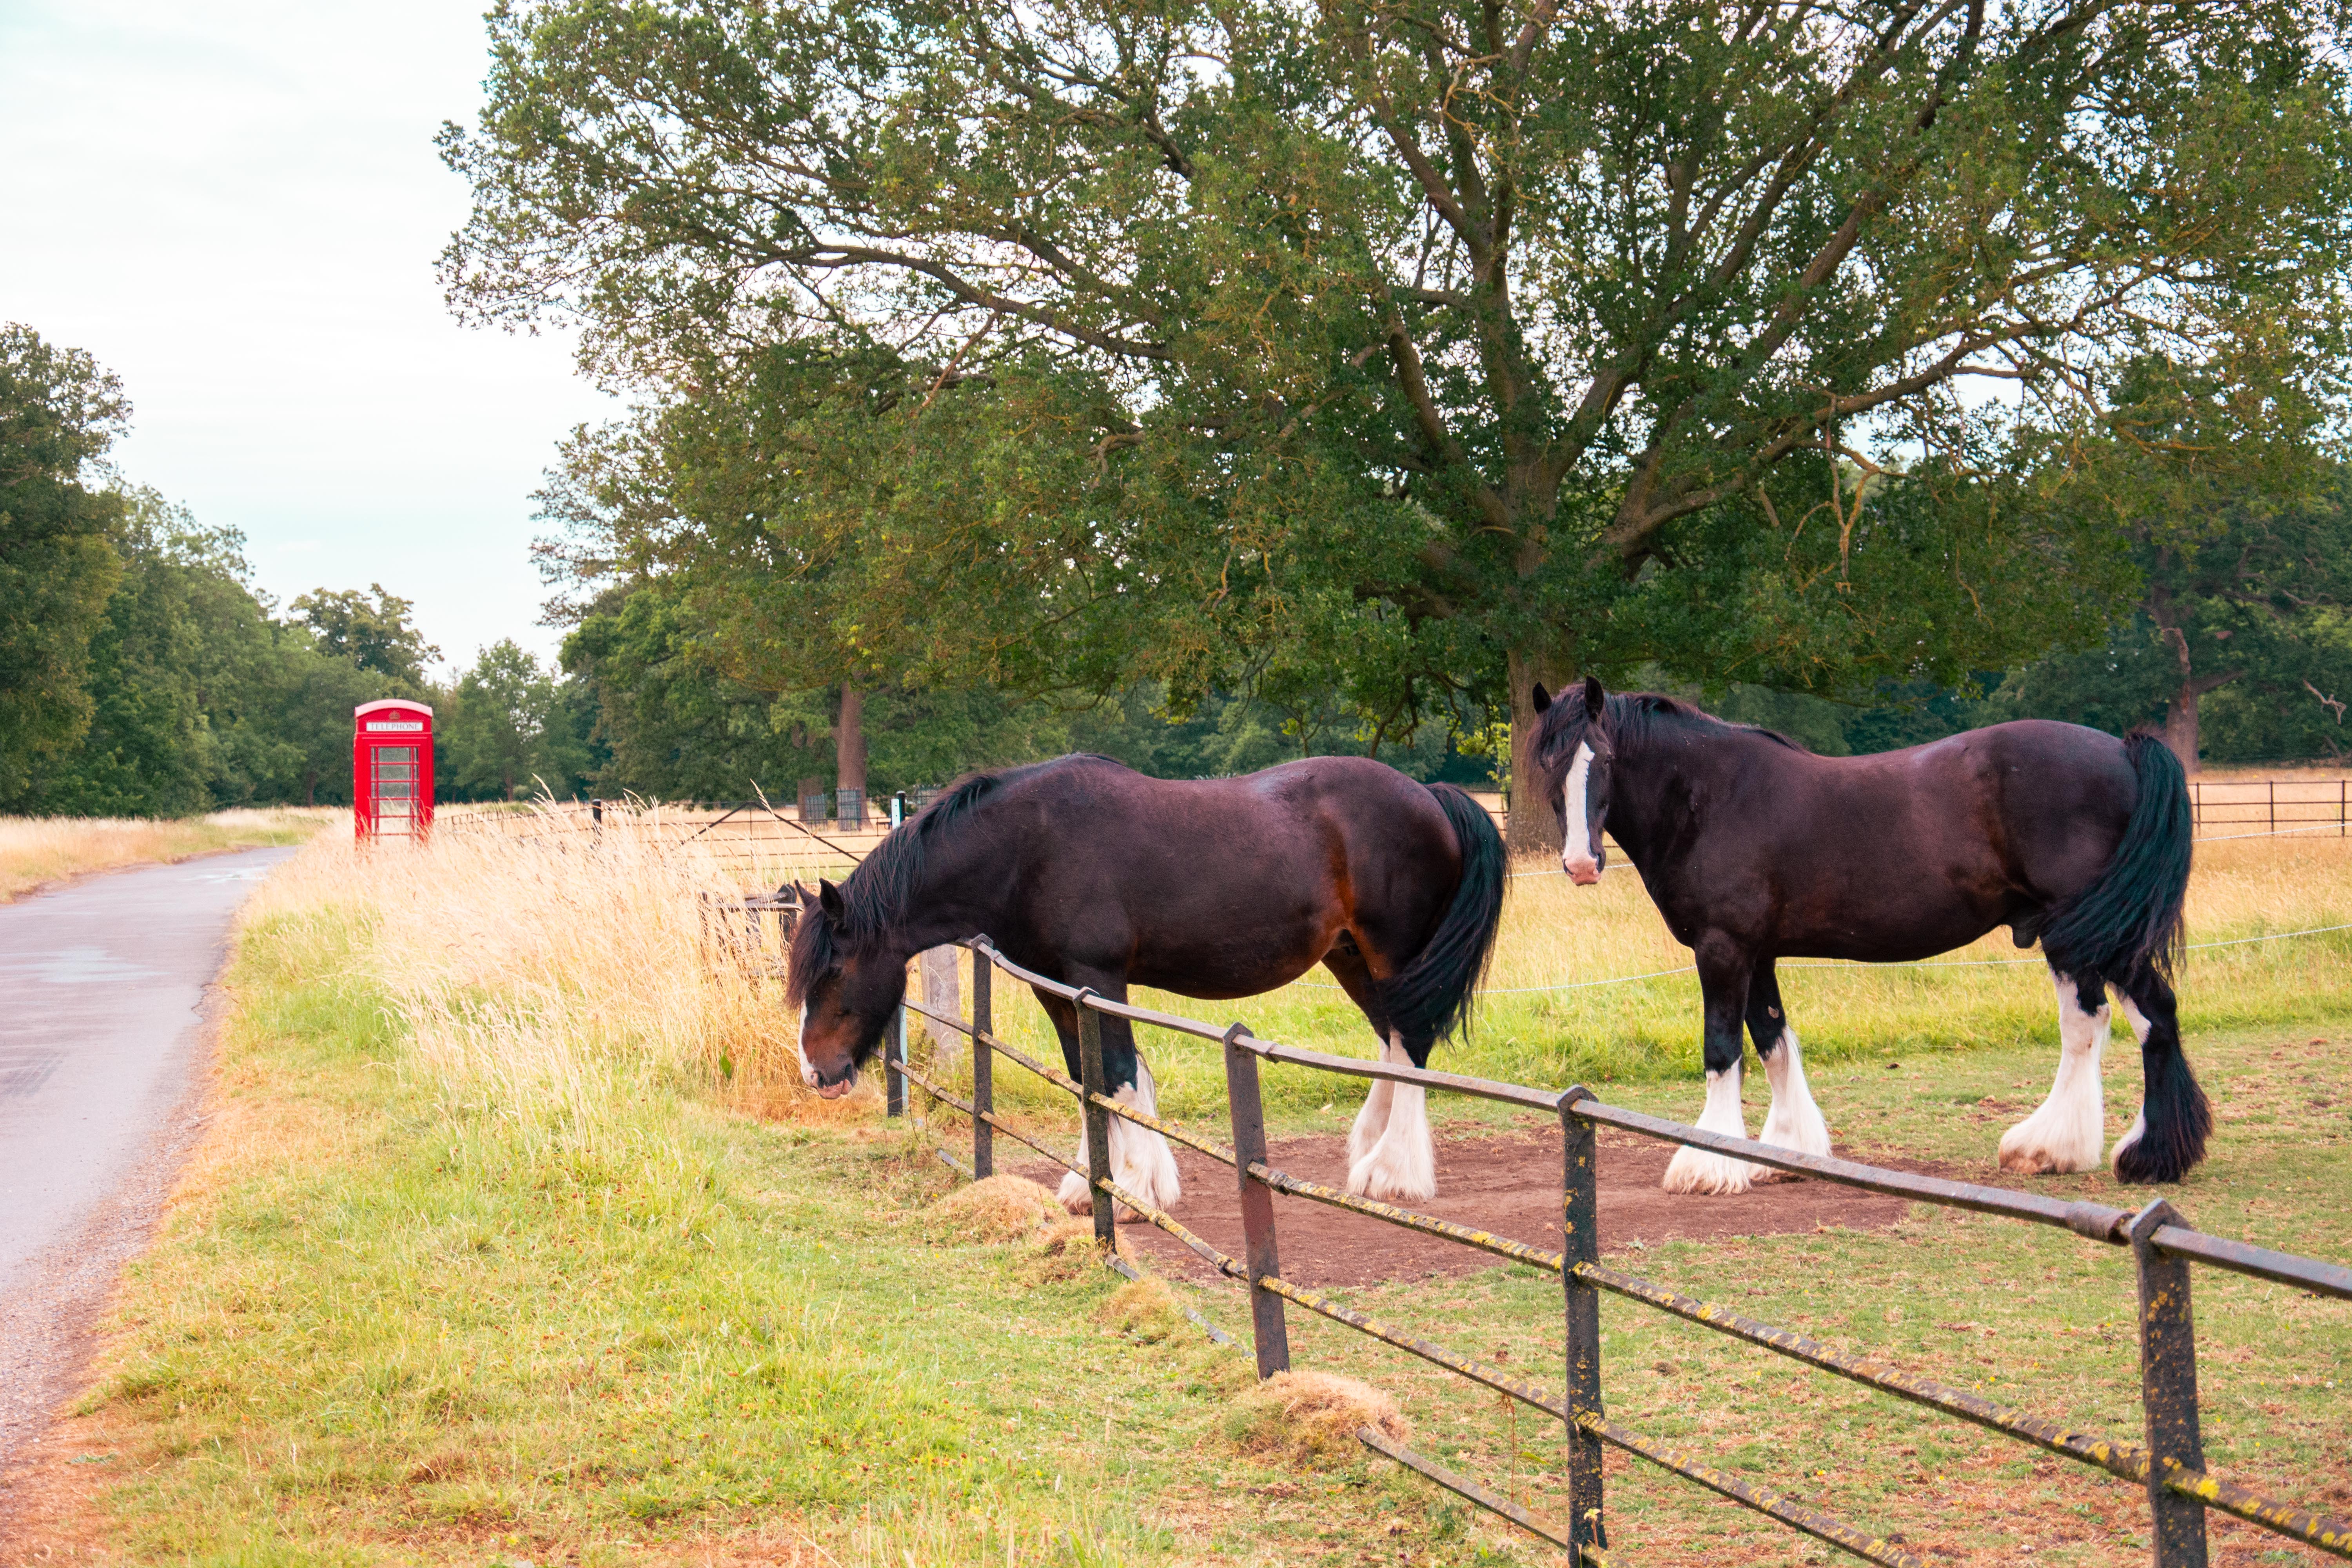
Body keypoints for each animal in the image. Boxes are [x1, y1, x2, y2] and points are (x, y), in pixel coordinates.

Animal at [785, 752, 1507, 1213]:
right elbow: (1087, 1074)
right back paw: (1367, 1153)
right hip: (1352, 957)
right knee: (1392, 1043)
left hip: (1394, 951)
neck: (1025, 847)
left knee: (1412, 1045)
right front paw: (1093, 1183)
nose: (817, 1072)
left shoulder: (1097, 975)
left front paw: (1131, 1187)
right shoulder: (1055, 983)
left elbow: (1118, 1073)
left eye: (836, 971)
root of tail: (1431, 794)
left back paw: (1394, 1174)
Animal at [1528, 677, 2206, 1194]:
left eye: (1604, 761)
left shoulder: (1723, 948)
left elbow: (1722, 1049)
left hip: (2091, 929)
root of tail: (2124, 750)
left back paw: (2147, 1157)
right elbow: (1773, 1041)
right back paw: (2054, 1149)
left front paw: (1709, 1163)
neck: (1709, 798)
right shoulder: (1758, 952)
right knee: (2089, 1022)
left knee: (2149, 1015)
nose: (1581, 864)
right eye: (1548, 766)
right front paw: (1785, 1152)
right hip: (2072, 936)